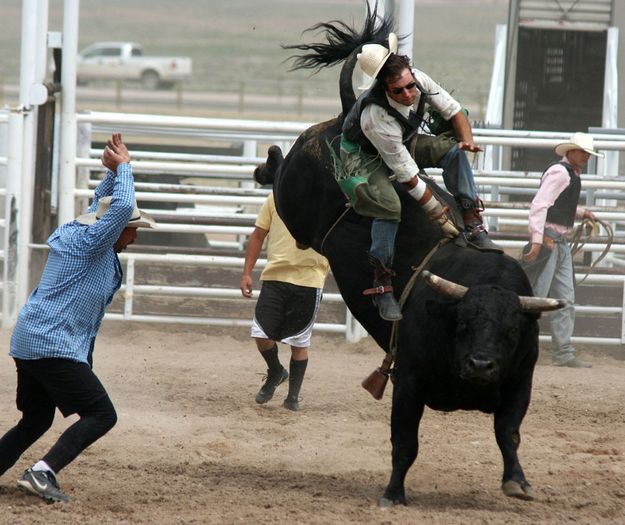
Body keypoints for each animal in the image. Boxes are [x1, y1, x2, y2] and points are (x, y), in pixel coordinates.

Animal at [268, 114, 564, 504]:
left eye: (511, 331)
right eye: (463, 323)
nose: (481, 365)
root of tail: (340, 119)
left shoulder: (520, 383)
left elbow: (508, 433)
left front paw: (517, 480)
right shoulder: (408, 382)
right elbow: (405, 443)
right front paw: (393, 493)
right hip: (293, 200)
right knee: (277, 177)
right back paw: (268, 158)